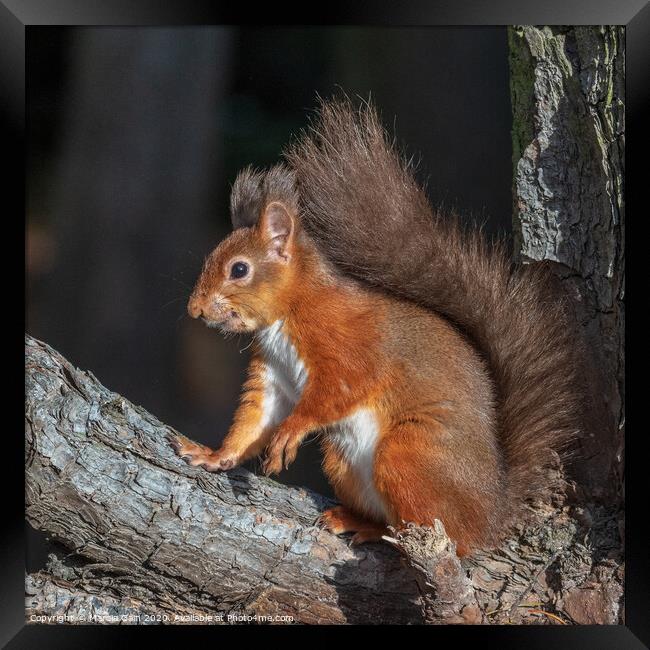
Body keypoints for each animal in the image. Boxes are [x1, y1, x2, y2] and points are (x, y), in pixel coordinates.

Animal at [172, 98, 576, 556]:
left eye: (239, 270)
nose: (194, 310)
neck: (290, 310)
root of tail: (491, 515)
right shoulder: (273, 373)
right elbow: (256, 418)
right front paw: (214, 456)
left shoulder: (347, 344)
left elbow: (338, 389)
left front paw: (290, 432)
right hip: (345, 461)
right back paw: (356, 521)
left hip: (408, 454)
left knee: (450, 539)